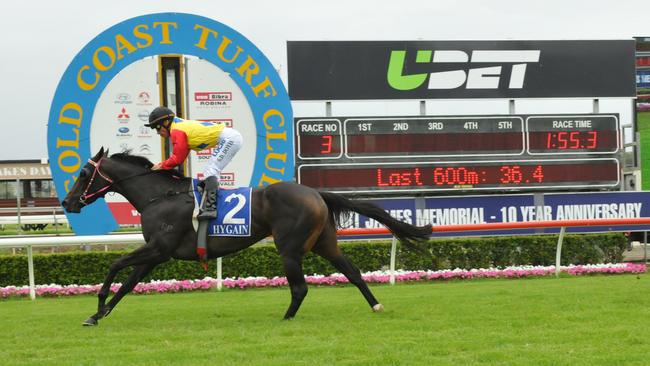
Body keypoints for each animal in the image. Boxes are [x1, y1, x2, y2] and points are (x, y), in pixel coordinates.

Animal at [62, 149, 430, 326]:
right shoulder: (156, 253)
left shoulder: (158, 249)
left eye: (83, 173)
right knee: (352, 271)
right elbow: (128, 284)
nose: (67, 202)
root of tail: (315, 192)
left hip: (290, 247)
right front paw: (98, 315)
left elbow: (114, 267)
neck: (158, 196)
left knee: (300, 287)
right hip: (324, 242)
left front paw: (97, 306)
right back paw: (376, 305)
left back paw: (285, 318)